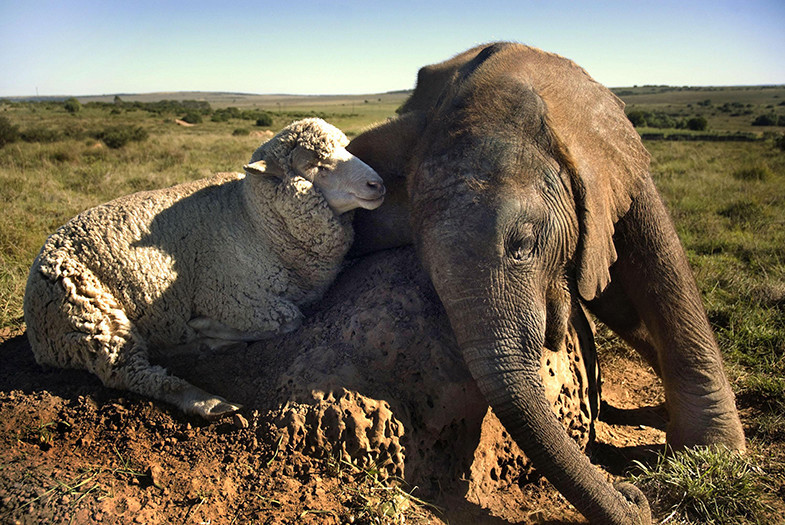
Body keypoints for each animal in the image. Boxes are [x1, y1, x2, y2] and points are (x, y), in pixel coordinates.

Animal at [26, 117, 388, 418]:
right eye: (316, 165)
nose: (378, 185)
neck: (254, 221)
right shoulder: (229, 297)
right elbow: (289, 318)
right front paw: (206, 327)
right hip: (89, 314)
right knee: (129, 373)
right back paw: (209, 399)